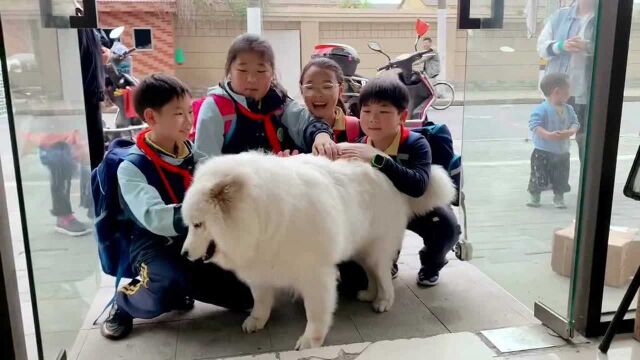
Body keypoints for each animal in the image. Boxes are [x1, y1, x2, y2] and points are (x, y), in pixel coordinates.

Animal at [181, 151, 456, 348]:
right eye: (190, 224)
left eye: (198, 224)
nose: (183, 254)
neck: (264, 217)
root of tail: (388, 177)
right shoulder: (262, 269)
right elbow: (260, 301)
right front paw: (256, 321)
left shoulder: (315, 275)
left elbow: (315, 312)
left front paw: (309, 341)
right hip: (360, 250)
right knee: (372, 275)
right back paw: (369, 294)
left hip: (376, 251)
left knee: (384, 277)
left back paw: (383, 302)